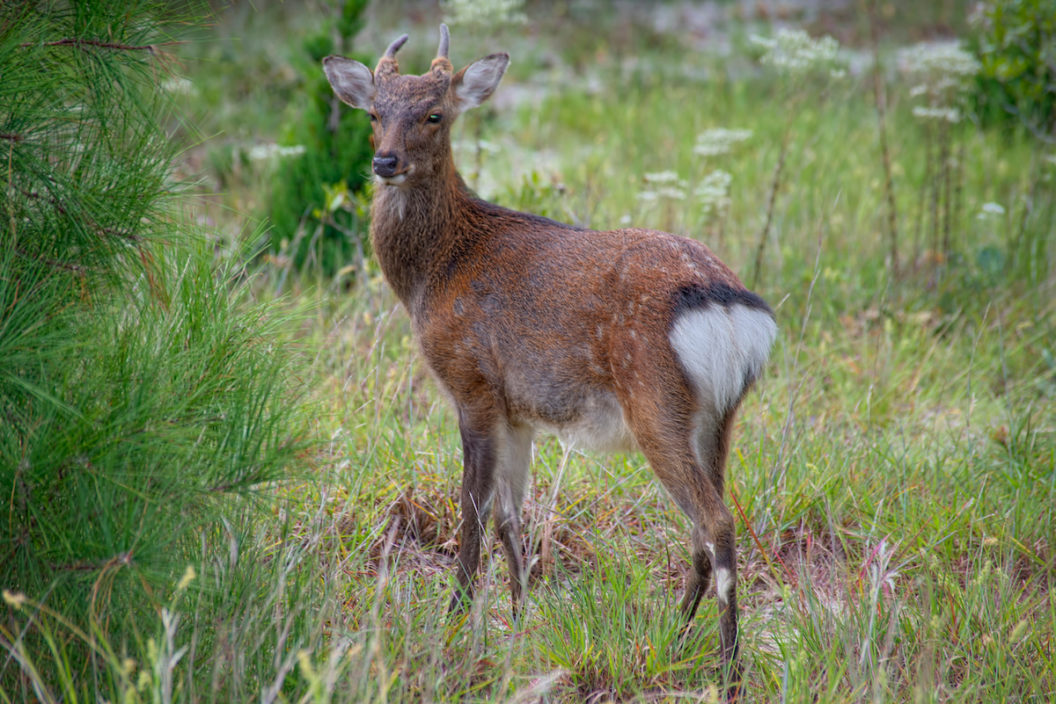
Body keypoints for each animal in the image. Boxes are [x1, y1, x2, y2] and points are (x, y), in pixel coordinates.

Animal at [321, 24, 777, 692]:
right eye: (374, 114)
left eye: (434, 114)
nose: (385, 162)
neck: (435, 273)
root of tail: (731, 308)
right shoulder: (519, 411)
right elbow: (512, 518)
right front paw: (518, 623)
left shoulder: (472, 381)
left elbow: (473, 512)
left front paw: (455, 625)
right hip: (719, 417)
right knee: (703, 526)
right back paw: (670, 641)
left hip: (655, 400)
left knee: (715, 521)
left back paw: (729, 672)